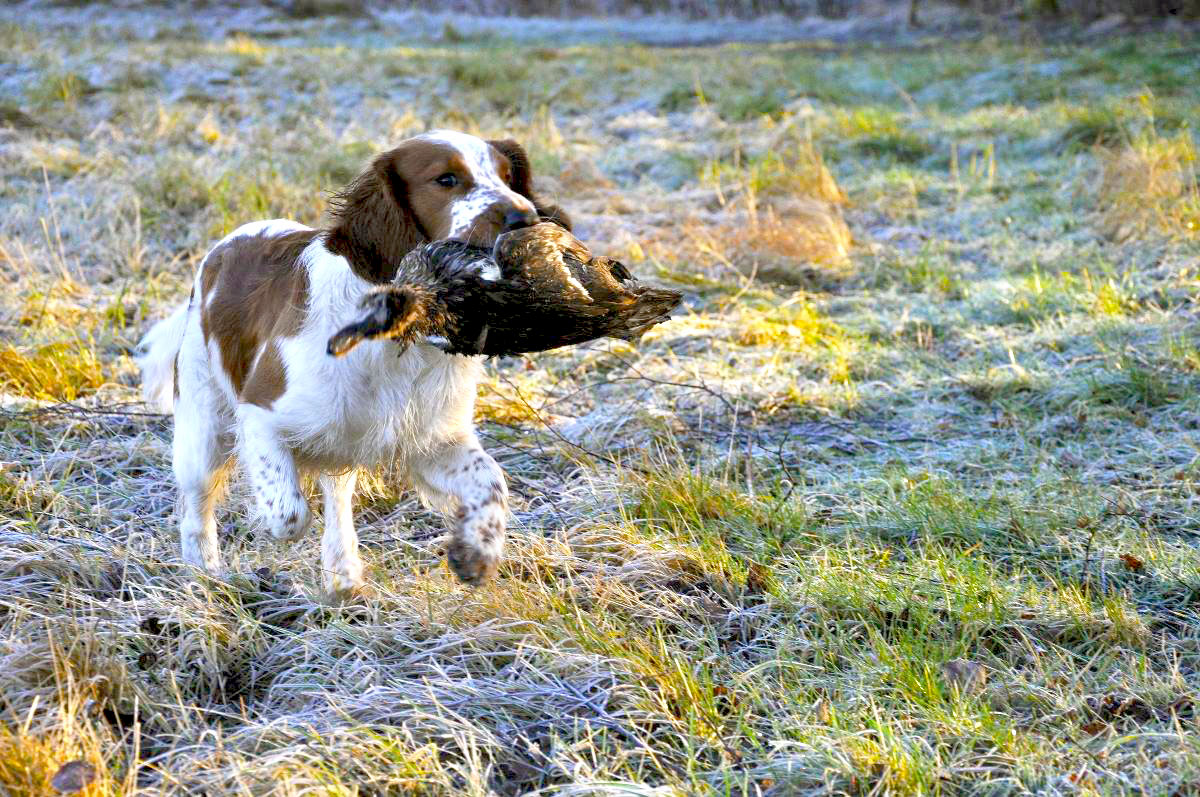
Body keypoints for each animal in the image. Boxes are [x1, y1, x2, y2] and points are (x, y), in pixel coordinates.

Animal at [137, 131, 569, 597]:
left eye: (509, 176)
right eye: (446, 179)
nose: (525, 218)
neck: (398, 340)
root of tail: (224, 248)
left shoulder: (430, 441)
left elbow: (491, 481)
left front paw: (477, 552)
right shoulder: (260, 413)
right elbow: (289, 513)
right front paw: (269, 522)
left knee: (338, 495)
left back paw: (343, 575)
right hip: (204, 430)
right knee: (196, 508)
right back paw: (203, 578)